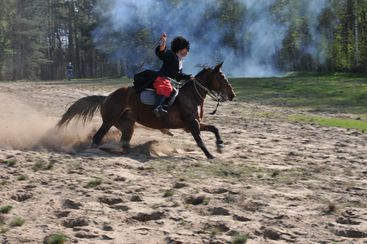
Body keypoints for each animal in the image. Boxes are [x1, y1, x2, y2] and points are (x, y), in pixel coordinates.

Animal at [57, 62, 236, 159]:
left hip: (127, 125)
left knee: (124, 142)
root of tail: (106, 97)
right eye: (221, 77)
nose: (232, 95)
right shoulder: (192, 125)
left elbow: (215, 128)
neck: (190, 96)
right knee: (97, 137)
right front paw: (210, 155)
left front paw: (220, 146)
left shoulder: (195, 124)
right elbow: (200, 141)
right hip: (109, 121)